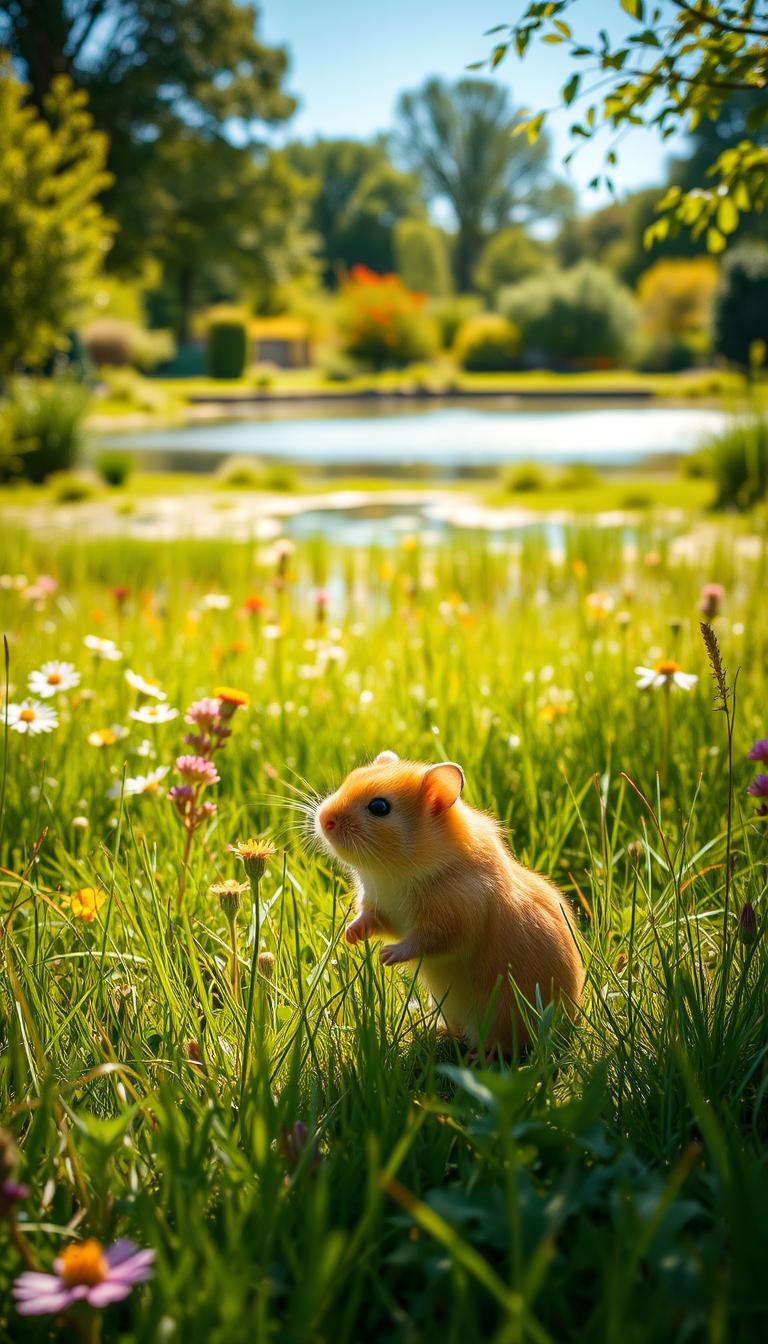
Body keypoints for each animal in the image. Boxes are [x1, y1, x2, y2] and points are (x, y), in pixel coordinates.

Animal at [314, 751, 583, 1055]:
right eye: (351, 778)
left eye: (379, 807)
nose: (323, 819)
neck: (395, 871)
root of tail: (567, 1022)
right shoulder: (380, 906)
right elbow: (371, 919)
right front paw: (350, 935)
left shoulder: (456, 914)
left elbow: (425, 939)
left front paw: (388, 956)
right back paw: (440, 1032)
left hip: (502, 1017)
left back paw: (476, 1056)